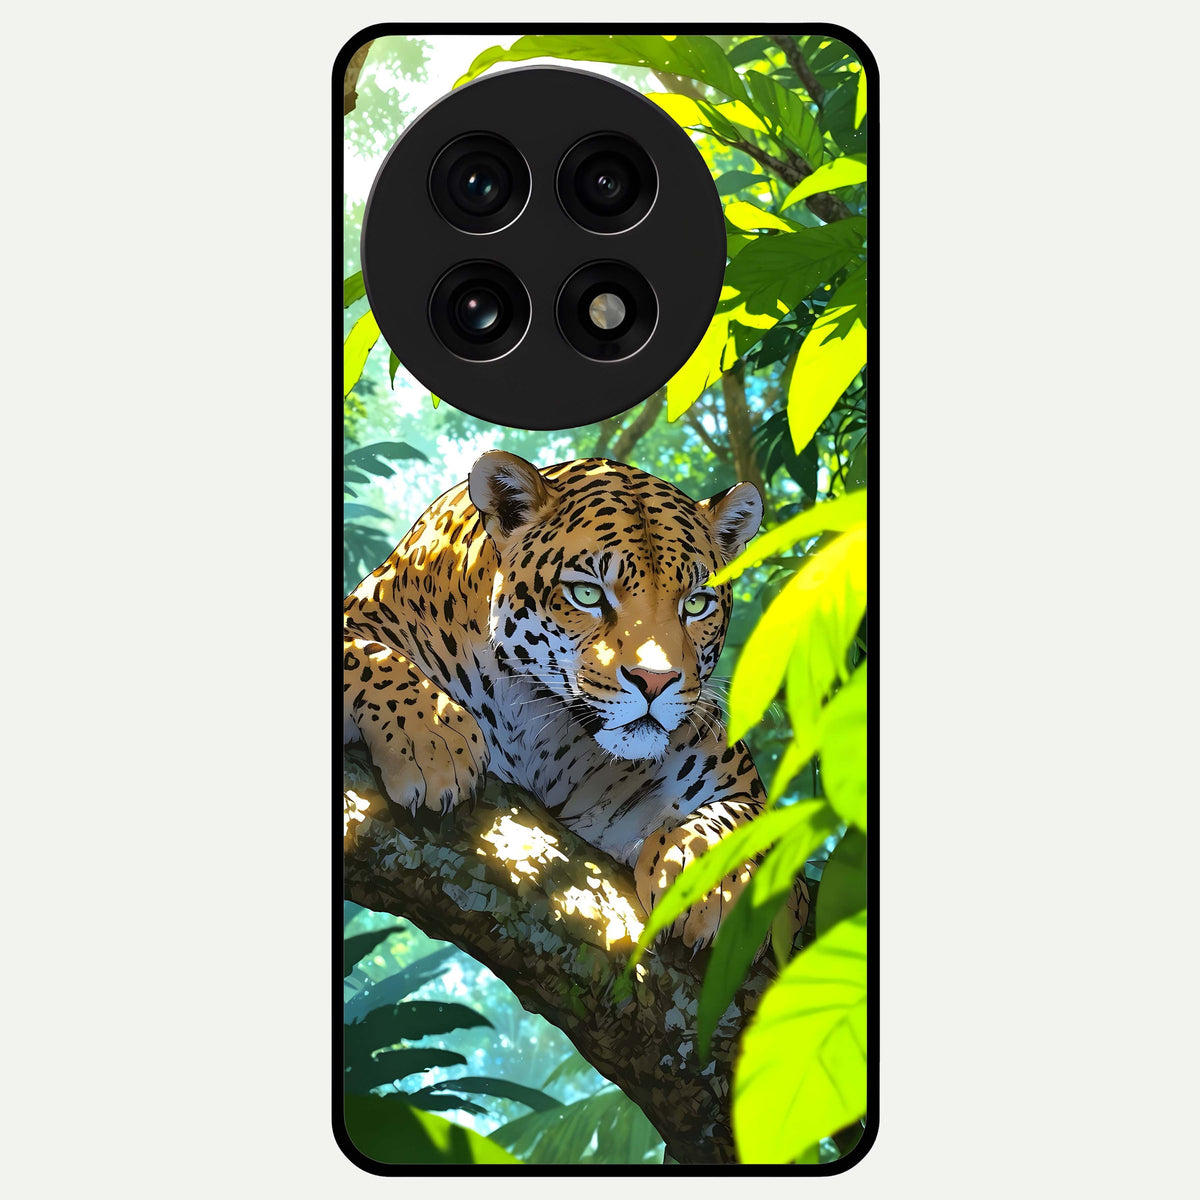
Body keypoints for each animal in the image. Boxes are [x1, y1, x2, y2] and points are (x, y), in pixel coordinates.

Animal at [343, 450, 808, 949]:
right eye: (587, 594)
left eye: (696, 604)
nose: (655, 680)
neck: (536, 726)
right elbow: (365, 653)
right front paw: (433, 739)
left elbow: (753, 819)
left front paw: (710, 878)